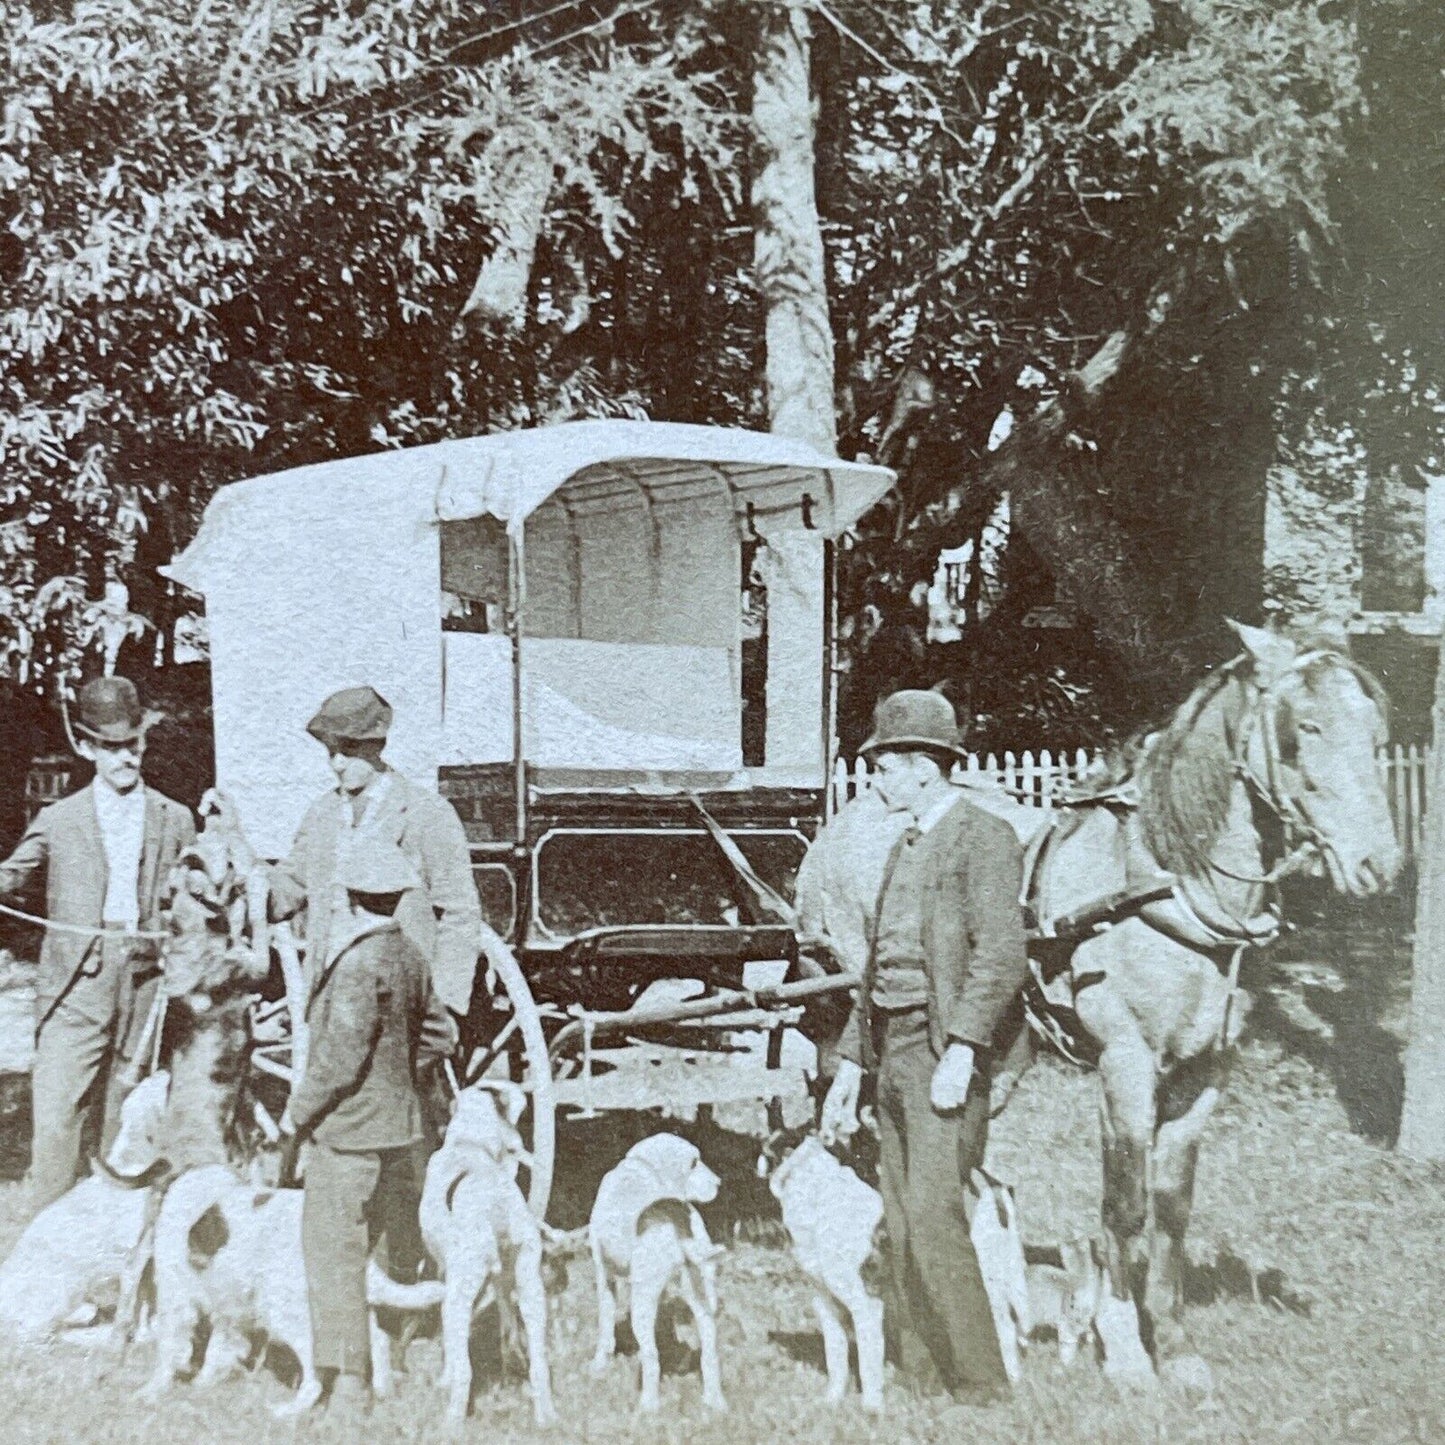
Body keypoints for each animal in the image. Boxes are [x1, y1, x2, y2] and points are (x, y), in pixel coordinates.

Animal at [1028, 624, 1398, 1387]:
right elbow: (1125, 1203)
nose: (1379, 865)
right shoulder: (1124, 1064)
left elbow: (1172, 1204)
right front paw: (1125, 1349)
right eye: (1304, 728)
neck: (1161, 886)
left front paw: (1171, 1341)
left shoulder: (1205, 1070)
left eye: (1376, 733)